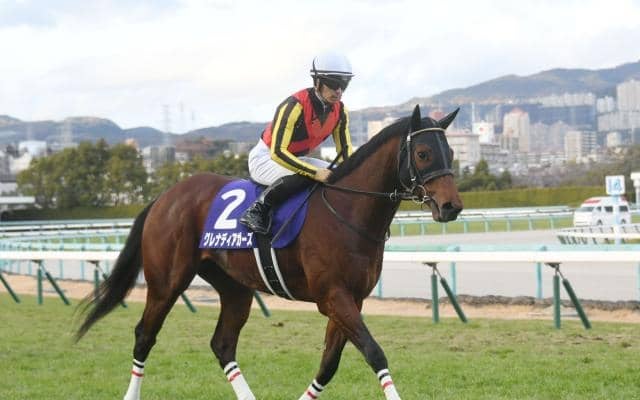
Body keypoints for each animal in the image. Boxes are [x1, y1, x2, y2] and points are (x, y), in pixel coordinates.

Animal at [76, 104, 463, 400]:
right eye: (423, 153)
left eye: (451, 153)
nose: (452, 207)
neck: (348, 212)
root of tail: (164, 197)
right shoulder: (333, 296)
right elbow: (374, 352)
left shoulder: (352, 298)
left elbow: (329, 364)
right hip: (166, 282)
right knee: (145, 335)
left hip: (234, 287)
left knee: (222, 344)